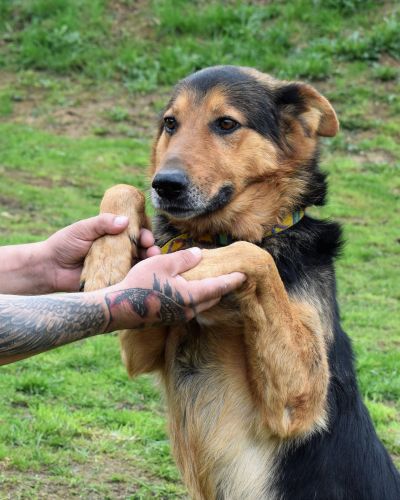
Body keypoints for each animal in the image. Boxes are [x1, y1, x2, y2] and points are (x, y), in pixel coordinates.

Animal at [81, 67, 400, 500]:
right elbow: (122, 189)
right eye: (170, 123)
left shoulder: (302, 401)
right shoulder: (143, 342)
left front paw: (189, 268)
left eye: (227, 124)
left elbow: (254, 256)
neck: (216, 234)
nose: (164, 185)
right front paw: (107, 259)